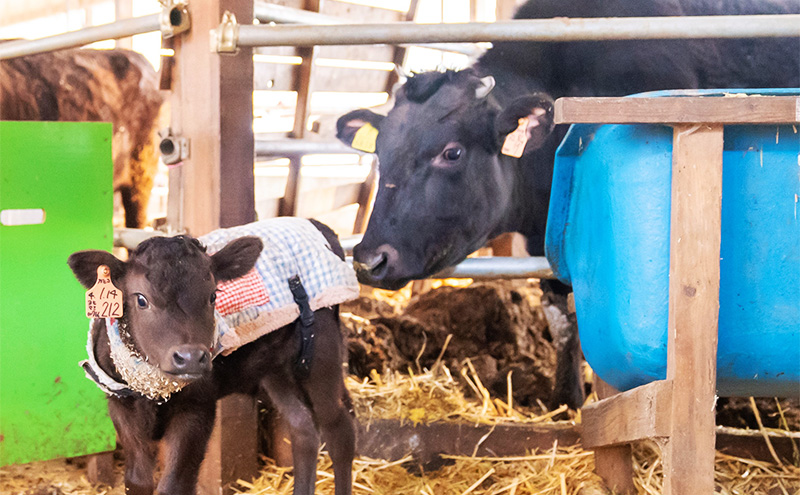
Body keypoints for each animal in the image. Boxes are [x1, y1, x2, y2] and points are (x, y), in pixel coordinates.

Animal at [69, 219, 356, 494]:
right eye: (141, 299)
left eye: (213, 295)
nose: (191, 357)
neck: (152, 387)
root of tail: (320, 227)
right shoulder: (120, 406)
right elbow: (137, 480)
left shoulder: (198, 405)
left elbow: (174, 484)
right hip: (276, 370)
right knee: (303, 428)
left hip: (322, 356)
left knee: (339, 430)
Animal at [336, 0, 800, 410]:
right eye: (380, 153)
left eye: (452, 153)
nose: (369, 260)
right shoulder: (549, 247)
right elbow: (563, 322)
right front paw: (567, 397)